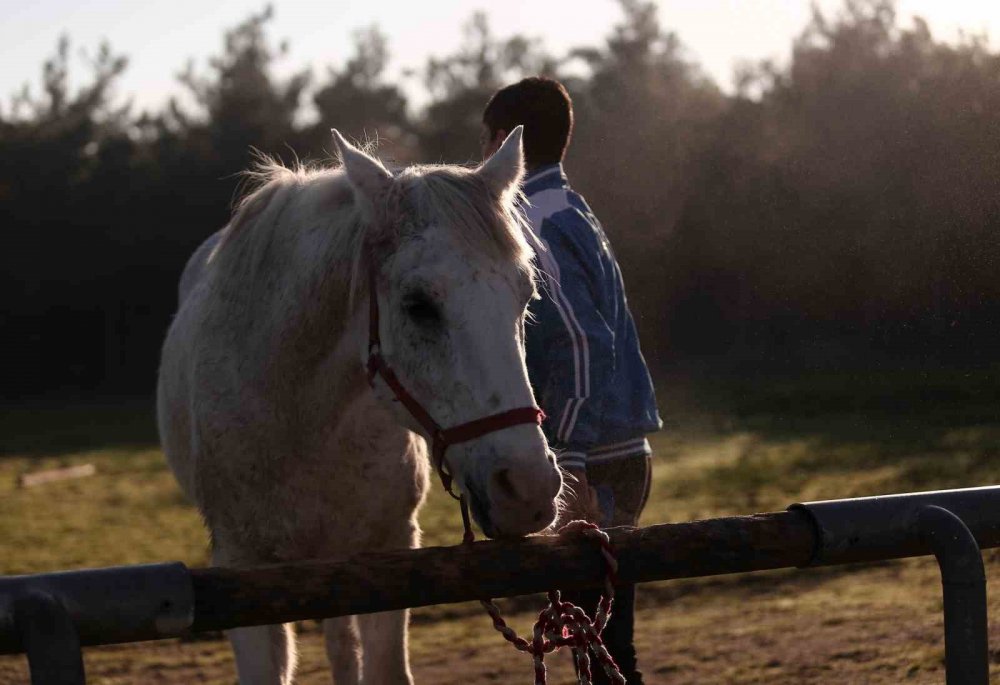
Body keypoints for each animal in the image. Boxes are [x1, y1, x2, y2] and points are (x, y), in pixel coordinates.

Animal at [155, 130, 564, 684]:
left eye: (525, 296)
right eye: (418, 305)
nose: (528, 488)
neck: (300, 422)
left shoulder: (387, 555)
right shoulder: (242, 573)